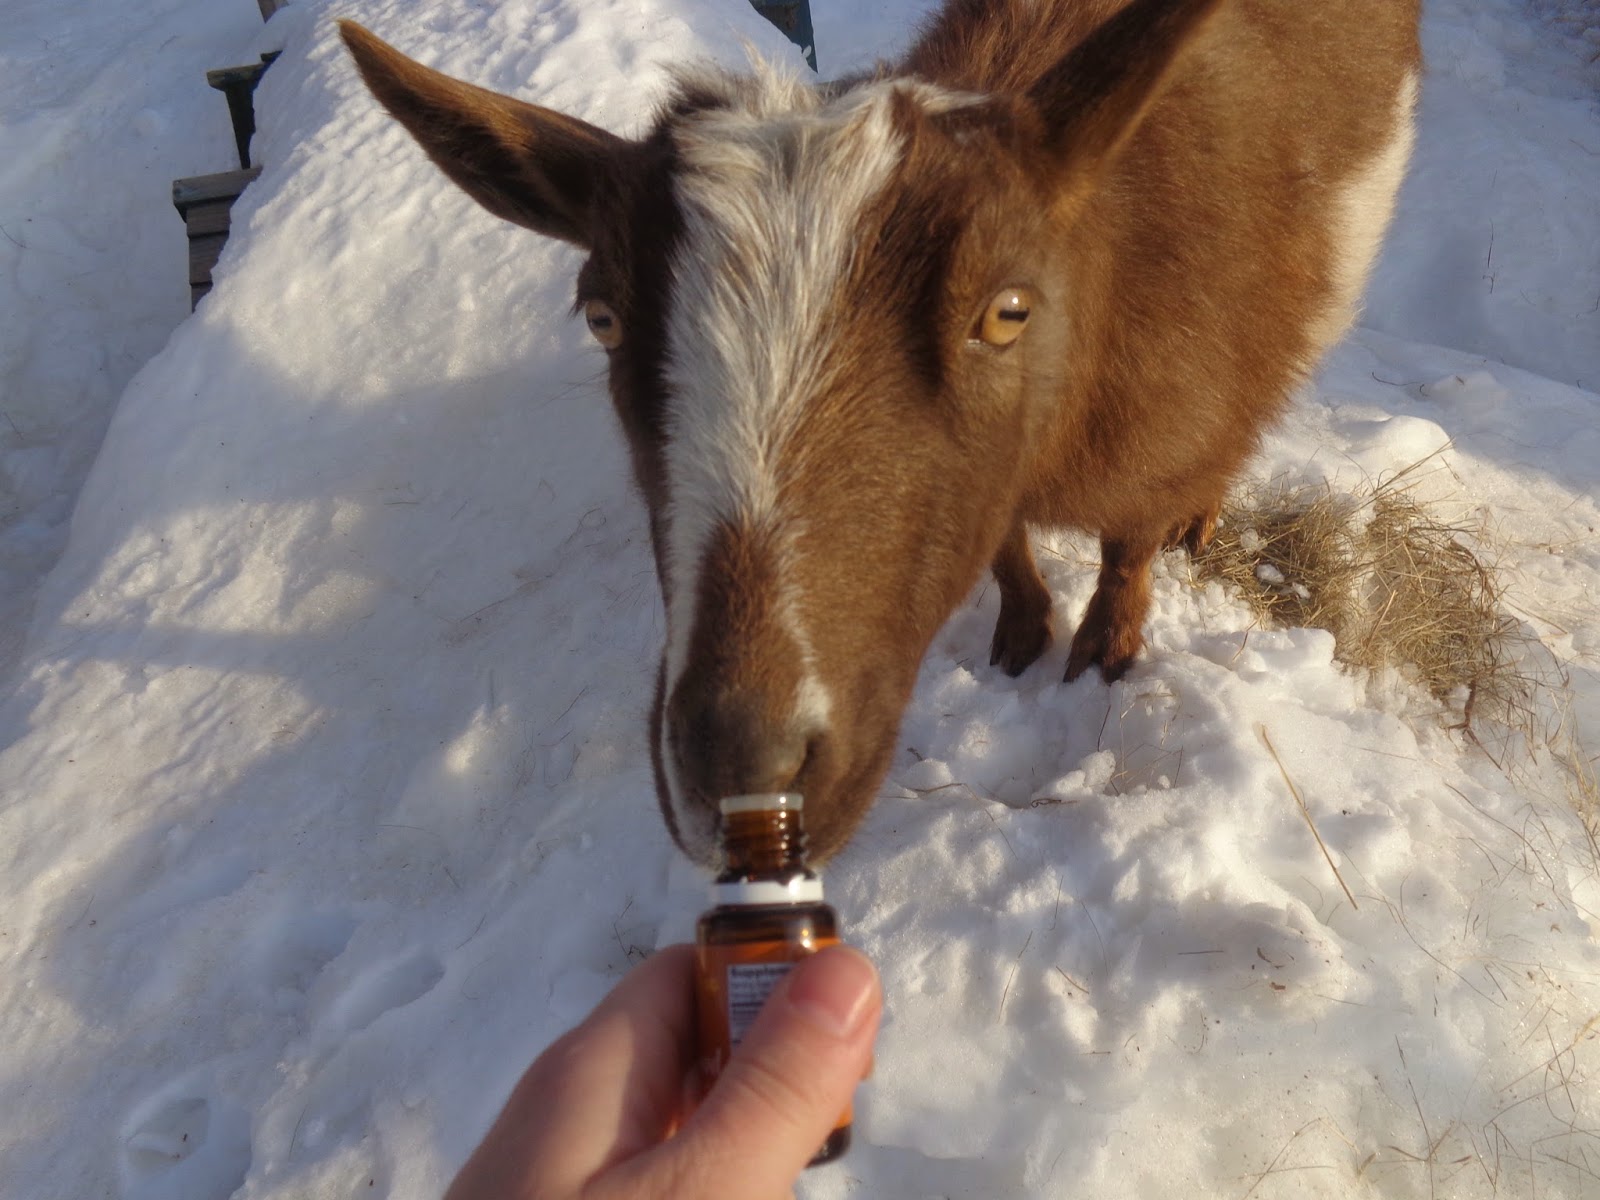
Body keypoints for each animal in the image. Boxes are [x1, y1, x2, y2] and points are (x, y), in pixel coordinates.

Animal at [341, 0, 1421, 864]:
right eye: (603, 316)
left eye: (1007, 311)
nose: (745, 762)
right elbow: (1005, 544)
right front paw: (1021, 634)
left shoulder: (1161, 436)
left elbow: (1126, 549)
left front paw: (1103, 653)